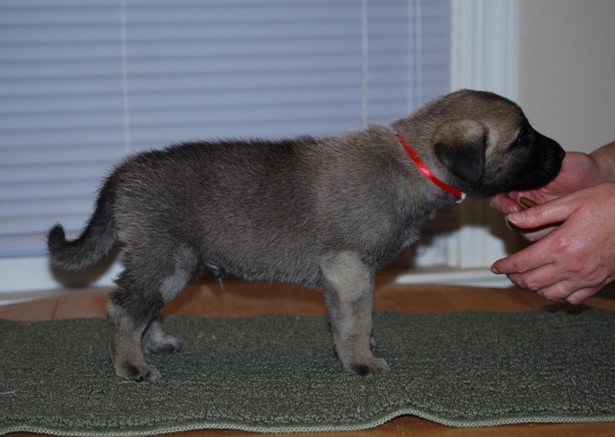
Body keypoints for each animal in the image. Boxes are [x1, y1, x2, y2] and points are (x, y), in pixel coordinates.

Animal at [48, 89, 565, 381]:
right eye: (521, 138)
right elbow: (355, 322)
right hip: (168, 261)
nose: (561, 155)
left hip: (172, 263)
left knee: (143, 307)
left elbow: (355, 320)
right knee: (122, 308)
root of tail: (124, 174)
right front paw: (360, 362)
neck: (411, 161)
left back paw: (152, 343)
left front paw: (359, 351)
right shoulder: (348, 267)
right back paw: (130, 364)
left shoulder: (350, 275)